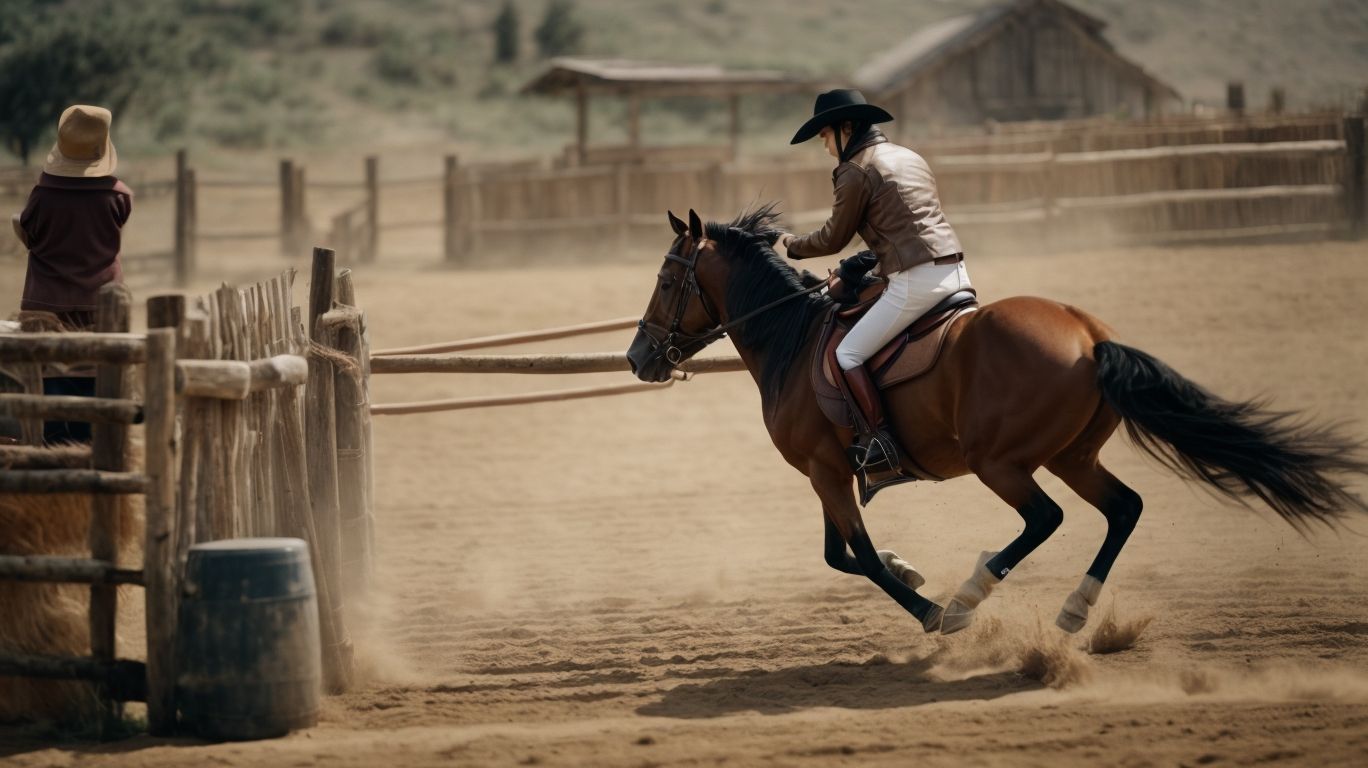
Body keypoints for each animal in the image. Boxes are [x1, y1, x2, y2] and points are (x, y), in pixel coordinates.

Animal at [626, 206, 1368, 635]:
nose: (638, 358)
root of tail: (1089, 336)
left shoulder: (824, 470)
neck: (792, 336)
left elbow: (855, 555)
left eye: (664, 280)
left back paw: (968, 597)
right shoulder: (826, 471)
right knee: (1124, 508)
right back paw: (1072, 610)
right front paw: (910, 570)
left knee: (1046, 519)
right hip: (1072, 456)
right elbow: (842, 553)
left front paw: (930, 611)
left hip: (1002, 462)